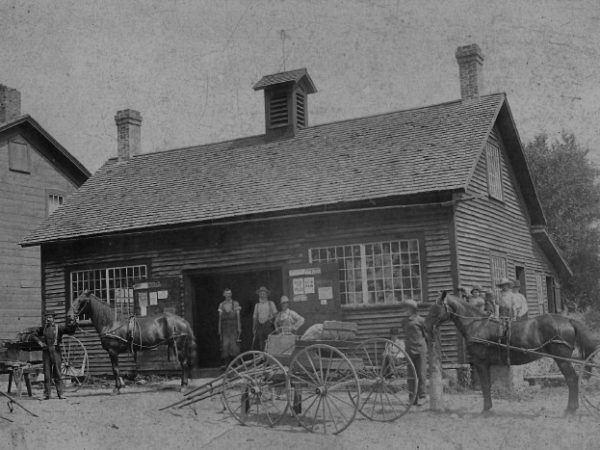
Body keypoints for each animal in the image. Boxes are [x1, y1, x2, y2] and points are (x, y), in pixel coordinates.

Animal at [68, 290, 197, 392]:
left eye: (80, 300)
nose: (69, 316)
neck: (111, 323)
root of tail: (182, 321)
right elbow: (116, 370)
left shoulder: (112, 352)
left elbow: (115, 370)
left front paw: (117, 389)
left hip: (179, 346)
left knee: (184, 364)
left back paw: (183, 387)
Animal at [424, 292, 596, 414]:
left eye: (436, 308)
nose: (425, 326)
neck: (477, 325)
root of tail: (568, 320)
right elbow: (487, 385)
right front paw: (488, 407)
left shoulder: (480, 363)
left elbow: (485, 385)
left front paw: (486, 409)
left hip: (562, 360)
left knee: (572, 379)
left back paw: (571, 409)